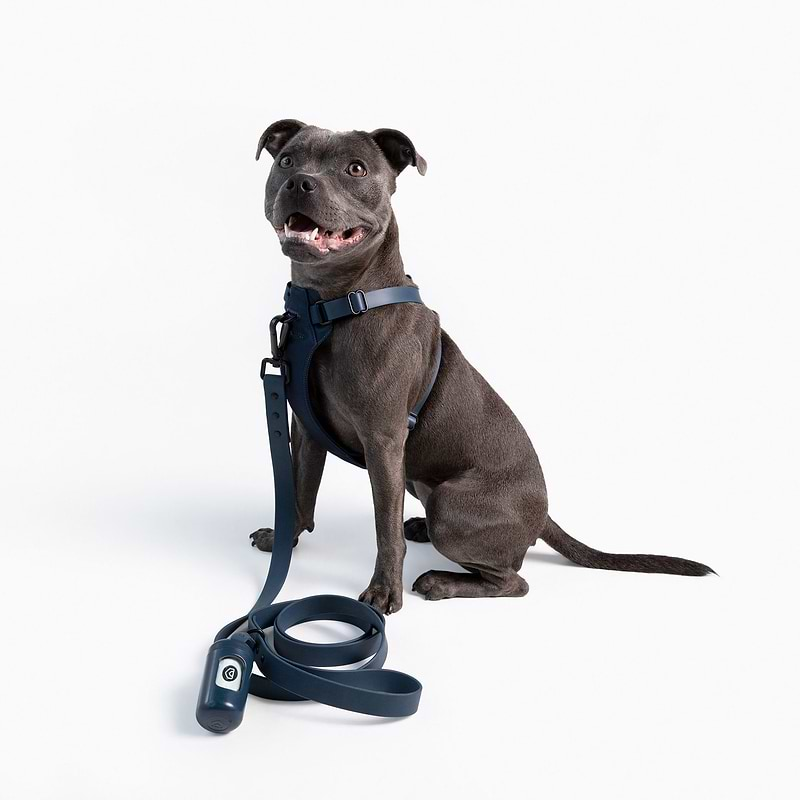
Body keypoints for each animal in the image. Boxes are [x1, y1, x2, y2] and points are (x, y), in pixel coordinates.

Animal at [250, 119, 712, 616]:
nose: (301, 182)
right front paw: (285, 539)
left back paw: (440, 581)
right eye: (287, 161)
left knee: (513, 580)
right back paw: (421, 530)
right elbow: (299, 489)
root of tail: (543, 516)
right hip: (421, 483)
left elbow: (384, 529)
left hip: (452, 505)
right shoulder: (306, 428)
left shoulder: (384, 440)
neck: (330, 307)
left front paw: (383, 591)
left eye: (356, 168)